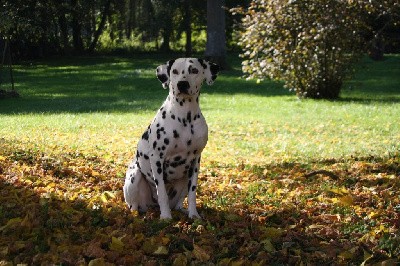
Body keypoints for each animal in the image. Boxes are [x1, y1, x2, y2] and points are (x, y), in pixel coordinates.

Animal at [124, 57, 220, 218]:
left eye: (194, 70)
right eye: (174, 71)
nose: (182, 84)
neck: (185, 117)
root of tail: (152, 206)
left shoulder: (195, 161)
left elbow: (193, 193)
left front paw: (194, 215)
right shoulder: (157, 158)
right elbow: (162, 191)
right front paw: (165, 216)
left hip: (183, 181)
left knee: (179, 203)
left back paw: (182, 210)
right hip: (134, 176)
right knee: (135, 206)